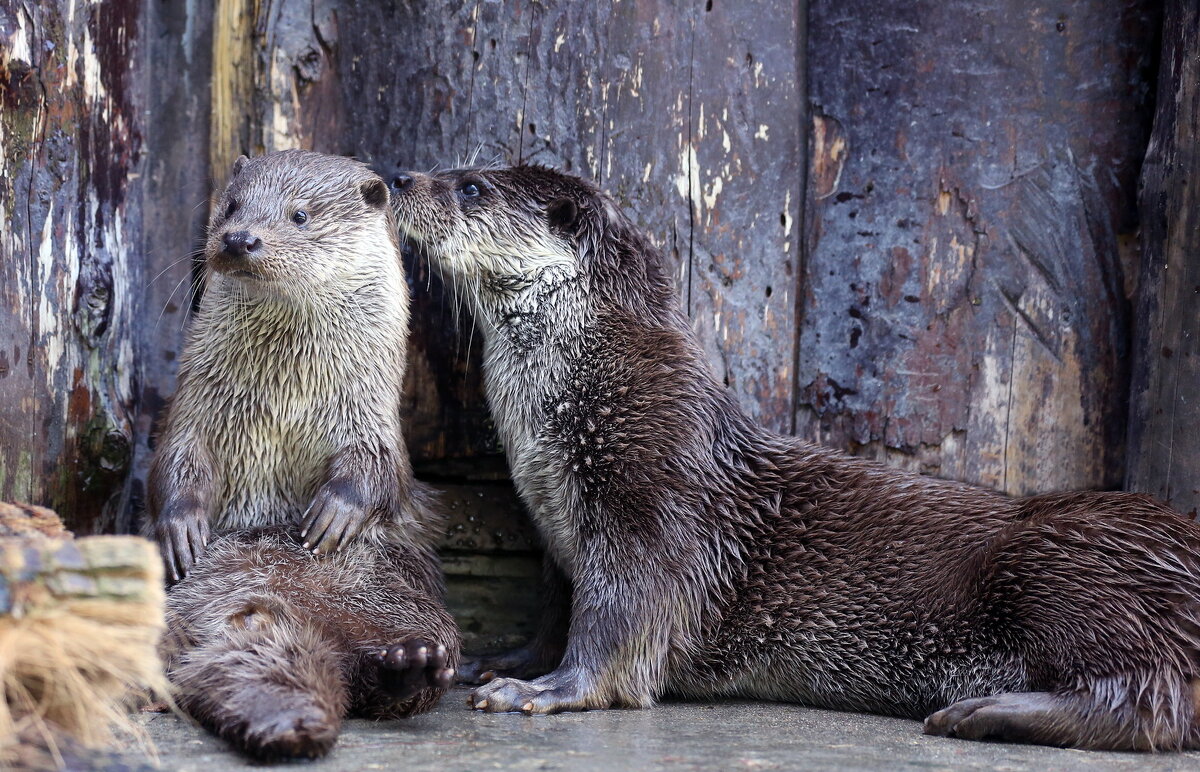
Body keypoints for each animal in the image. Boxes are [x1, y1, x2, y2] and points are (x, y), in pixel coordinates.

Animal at [152, 151, 460, 758]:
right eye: (232, 205)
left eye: (299, 215)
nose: (240, 237)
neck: (285, 399)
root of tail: (268, 613)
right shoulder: (195, 405)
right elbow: (179, 458)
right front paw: (181, 527)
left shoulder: (370, 418)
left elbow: (376, 470)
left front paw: (334, 515)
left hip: (407, 601)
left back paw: (410, 664)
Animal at [384, 165, 1200, 753]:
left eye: (471, 186)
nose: (399, 178)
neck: (604, 391)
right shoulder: (561, 542)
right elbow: (557, 613)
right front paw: (503, 662)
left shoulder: (654, 503)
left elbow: (623, 622)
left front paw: (544, 693)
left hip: (1074, 564)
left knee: (1155, 700)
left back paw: (981, 711)